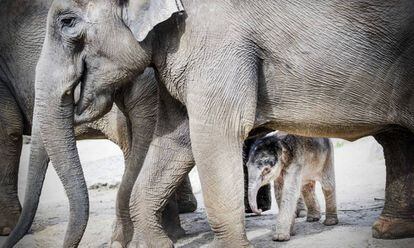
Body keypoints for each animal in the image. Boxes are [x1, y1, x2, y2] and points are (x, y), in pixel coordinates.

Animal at [7, 0, 414, 247]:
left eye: (68, 22)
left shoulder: (216, 42)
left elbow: (214, 137)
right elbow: (176, 141)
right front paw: (159, 245)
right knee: (397, 140)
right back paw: (389, 232)